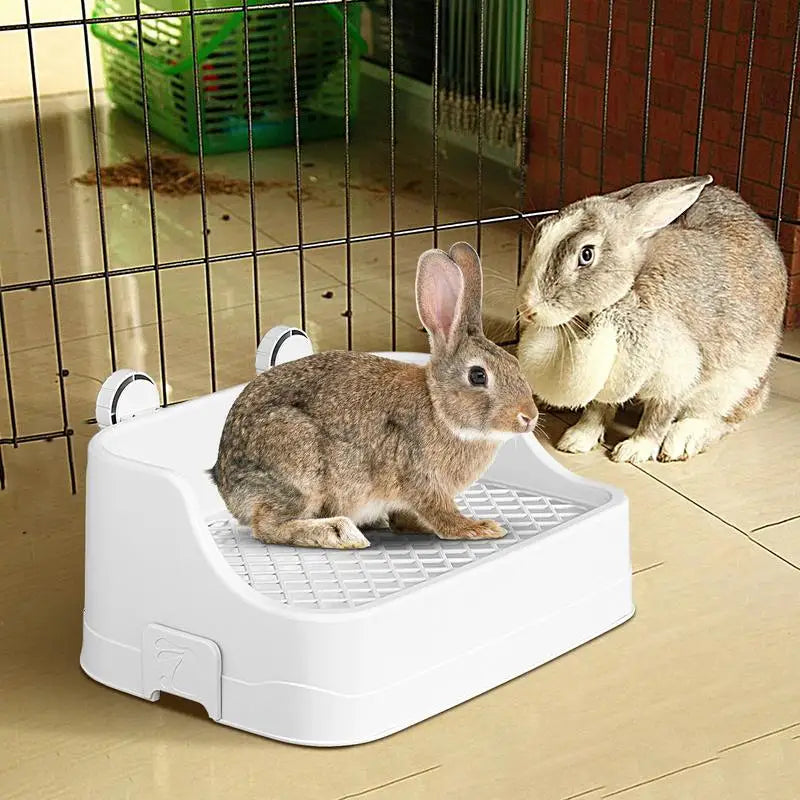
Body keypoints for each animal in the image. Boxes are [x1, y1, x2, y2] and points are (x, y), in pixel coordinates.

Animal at [211, 242, 539, 549]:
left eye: (516, 365)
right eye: (478, 376)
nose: (529, 417)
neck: (439, 410)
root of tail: (224, 481)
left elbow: (406, 517)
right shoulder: (421, 480)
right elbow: (440, 513)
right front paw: (479, 528)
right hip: (298, 466)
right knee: (268, 526)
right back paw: (338, 532)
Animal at [515, 175, 787, 463]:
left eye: (586, 254)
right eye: (540, 231)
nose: (528, 308)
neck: (627, 290)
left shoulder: (675, 371)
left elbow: (657, 416)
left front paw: (634, 451)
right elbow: (598, 407)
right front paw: (577, 439)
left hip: (734, 386)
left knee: (722, 419)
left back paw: (682, 441)